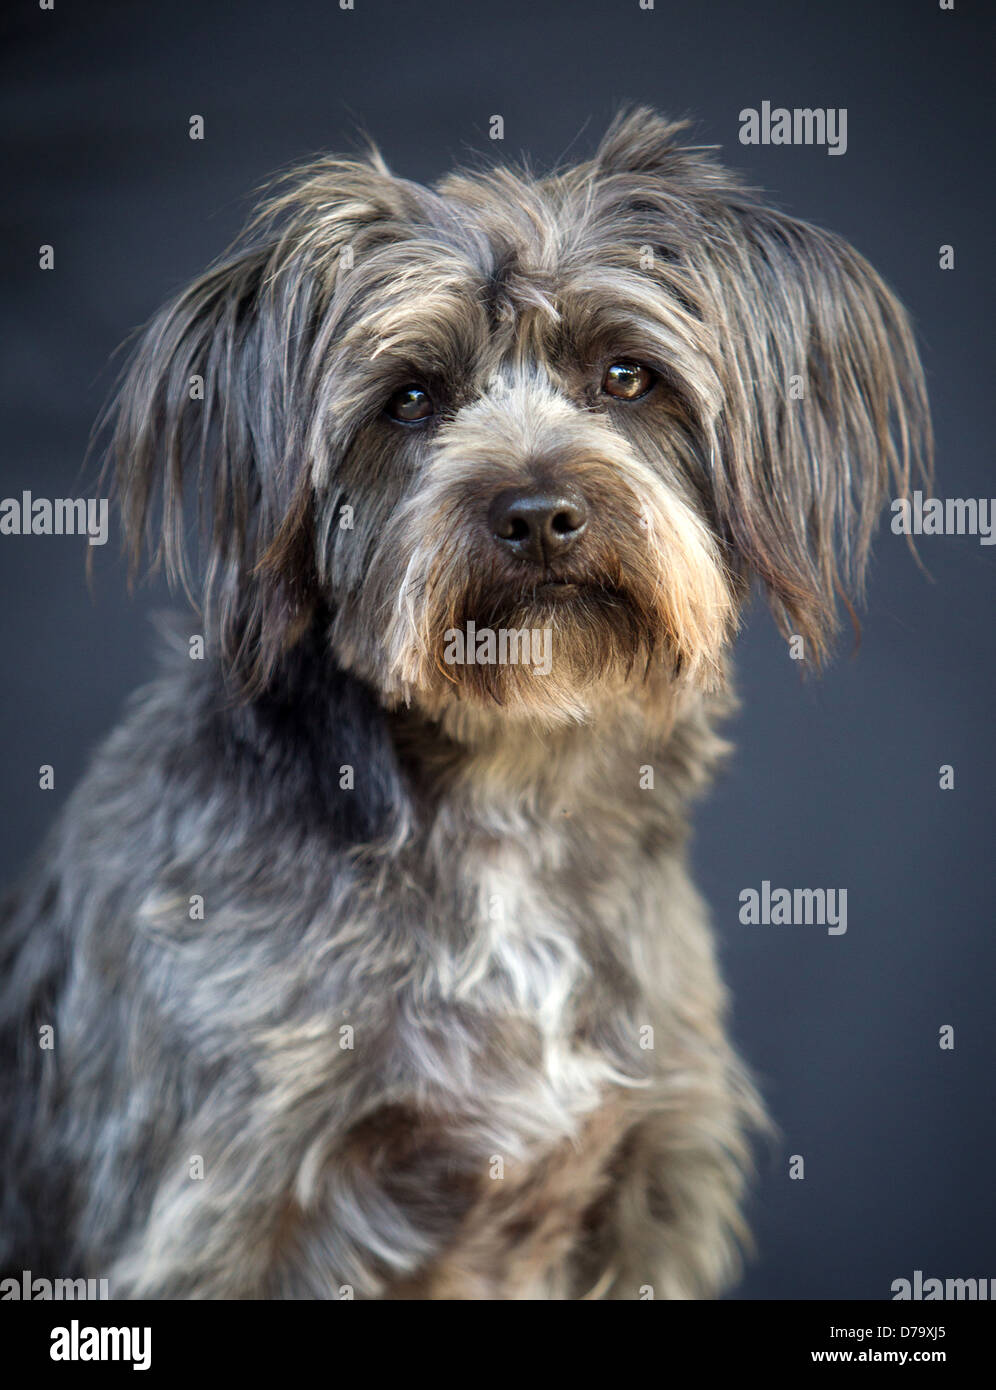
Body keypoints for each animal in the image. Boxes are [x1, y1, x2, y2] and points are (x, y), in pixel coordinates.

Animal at [1, 105, 933, 1289]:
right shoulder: (220, 1205)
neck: (511, 791)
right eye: (410, 399)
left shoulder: (655, 1180)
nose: (538, 514)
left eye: (627, 375)